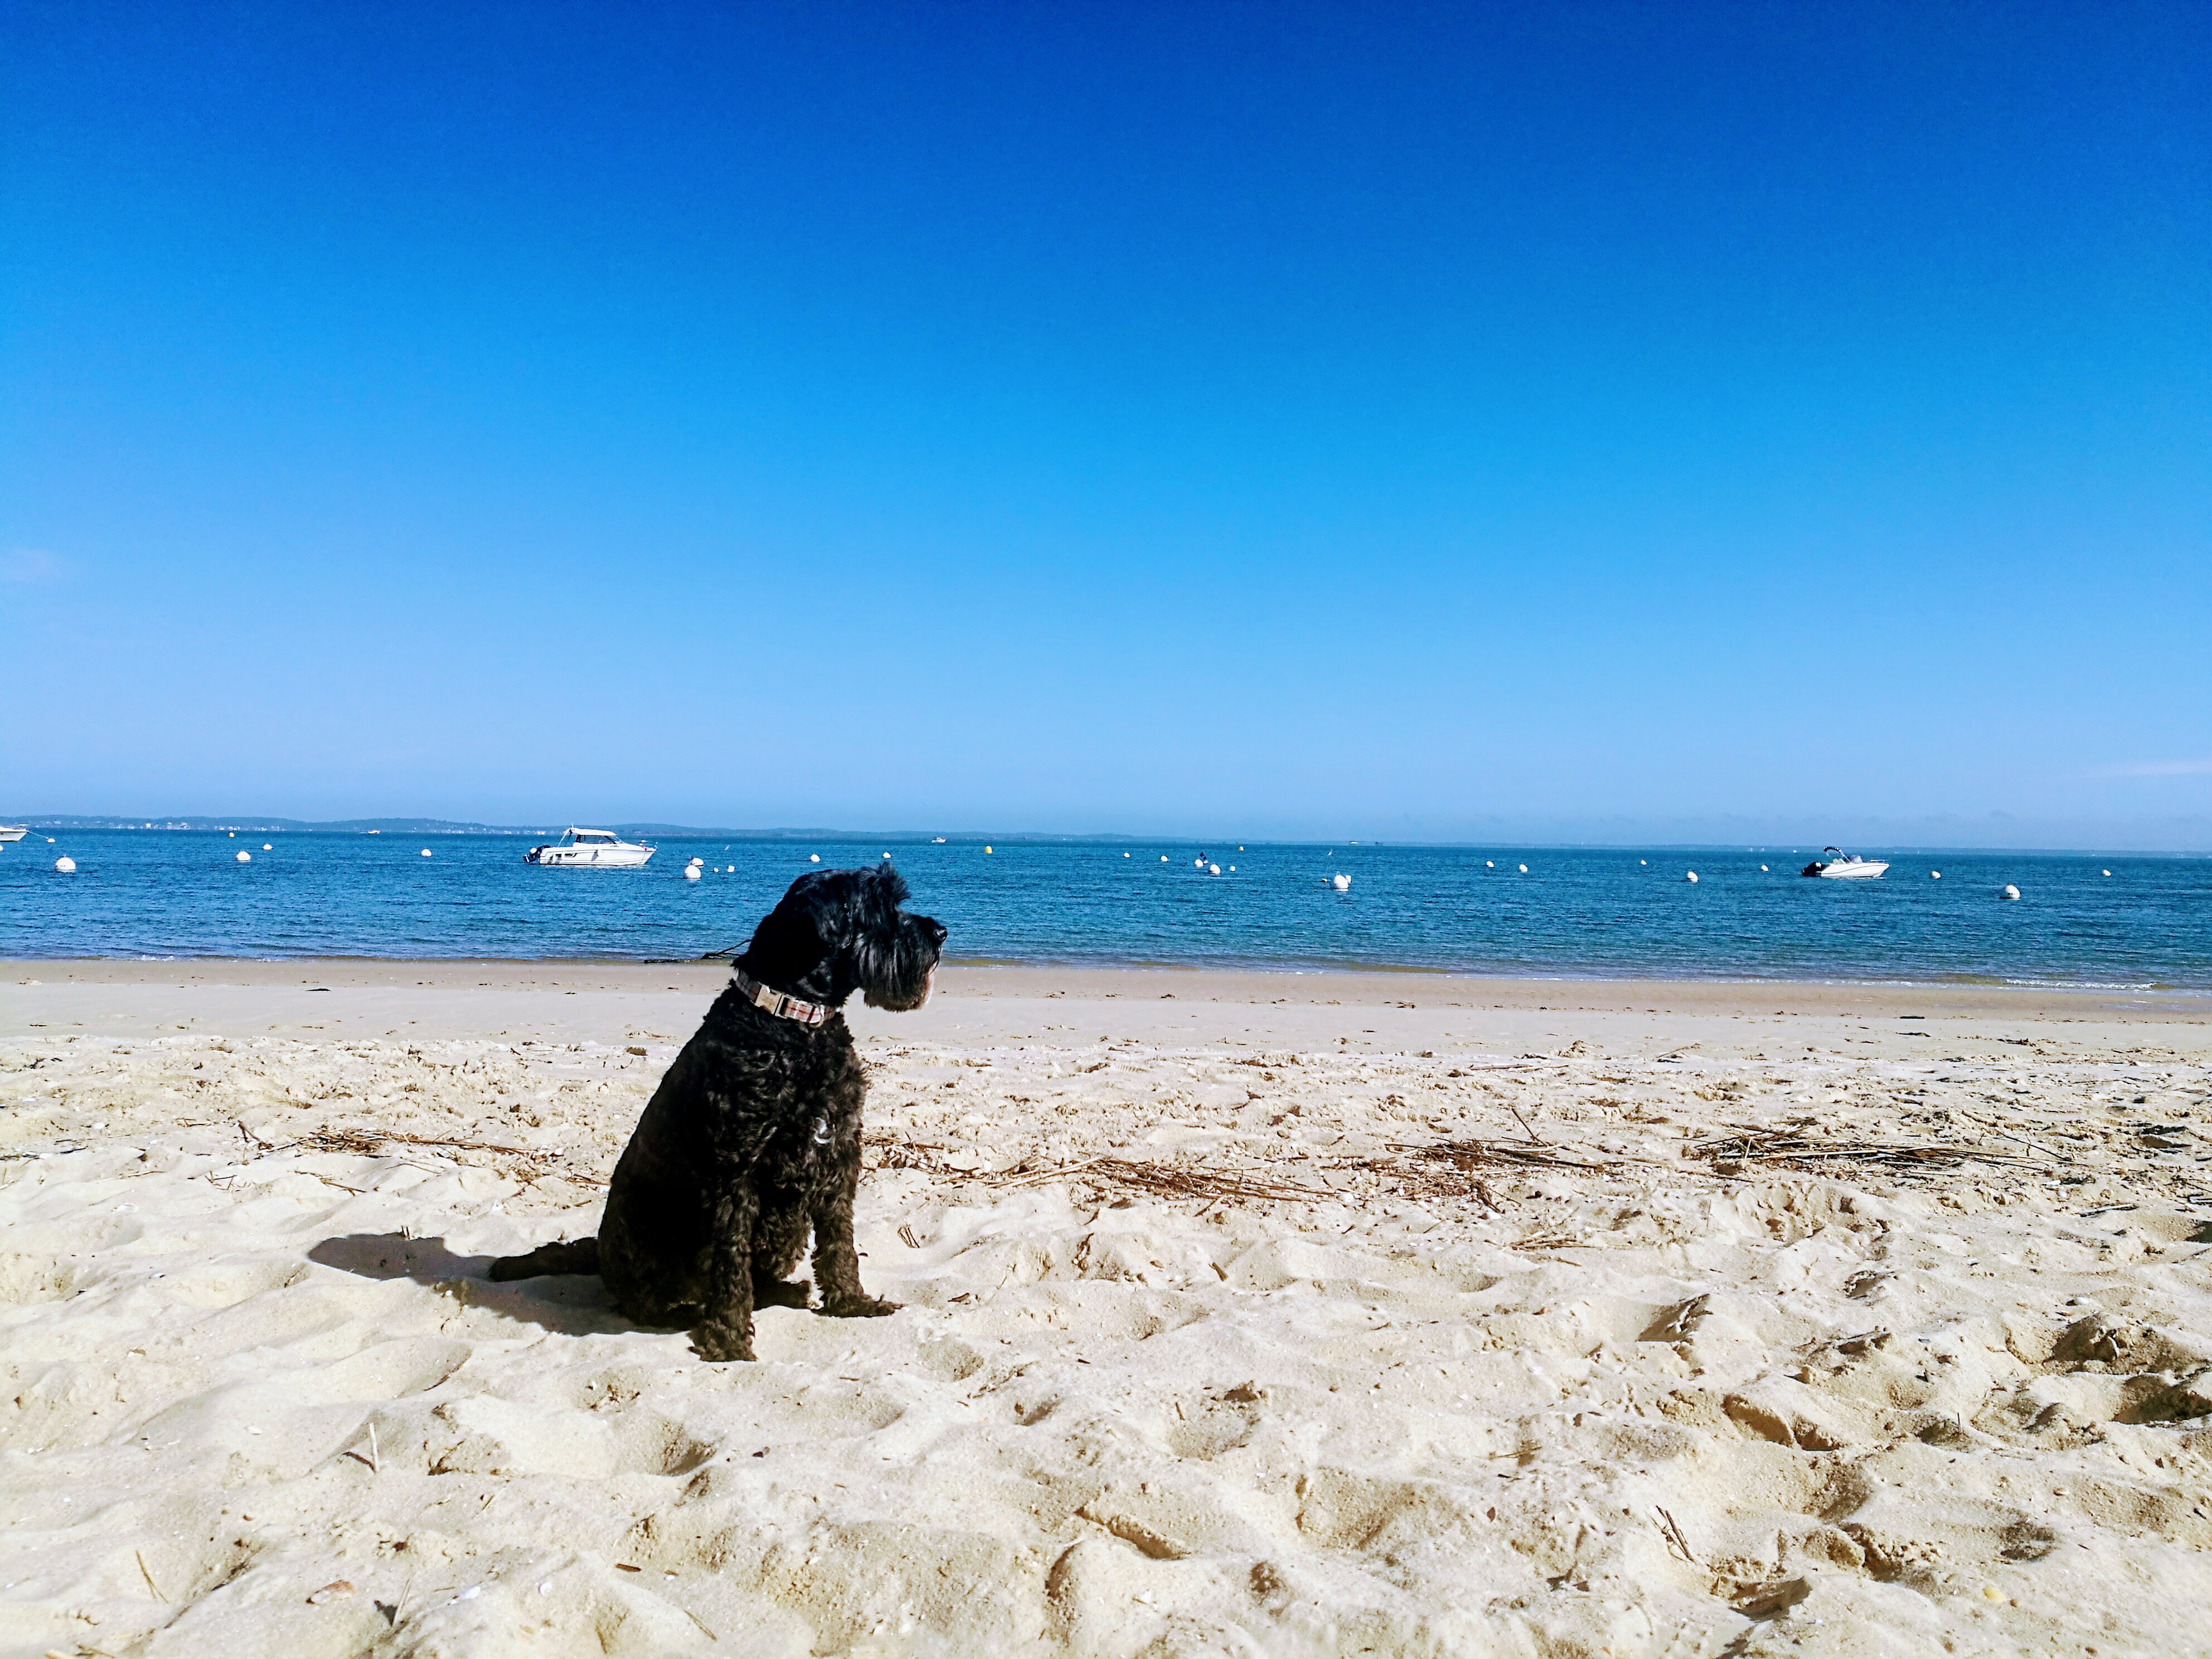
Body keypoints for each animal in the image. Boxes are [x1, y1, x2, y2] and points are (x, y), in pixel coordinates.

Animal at [489, 864, 945, 1361]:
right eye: (882, 907)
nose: (942, 933)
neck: (794, 1024)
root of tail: (599, 1255)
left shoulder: (837, 1155)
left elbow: (840, 1242)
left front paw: (852, 1303)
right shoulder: (735, 1173)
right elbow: (730, 1261)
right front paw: (727, 1337)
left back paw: (787, 1292)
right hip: (653, 1231)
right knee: (647, 1302)